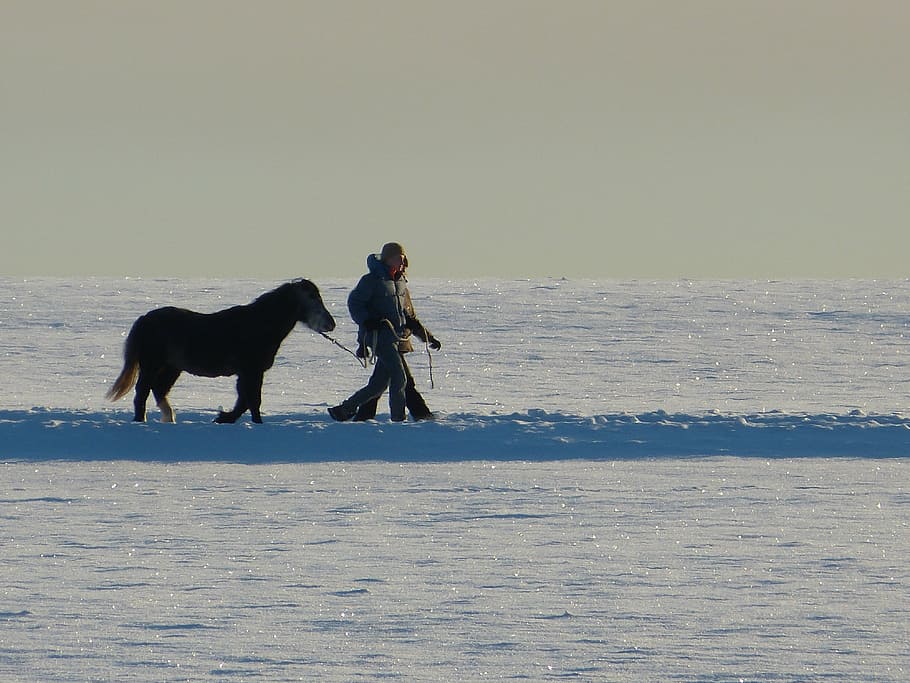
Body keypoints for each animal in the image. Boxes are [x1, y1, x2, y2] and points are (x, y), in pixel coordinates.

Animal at [106, 279, 335, 424]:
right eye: (314, 299)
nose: (331, 324)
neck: (258, 325)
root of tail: (144, 319)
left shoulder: (248, 373)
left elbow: (245, 401)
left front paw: (224, 418)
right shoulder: (251, 371)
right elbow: (252, 400)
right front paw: (242, 421)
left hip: (171, 368)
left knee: (158, 390)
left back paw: (168, 419)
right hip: (152, 365)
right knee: (142, 392)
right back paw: (141, 421)